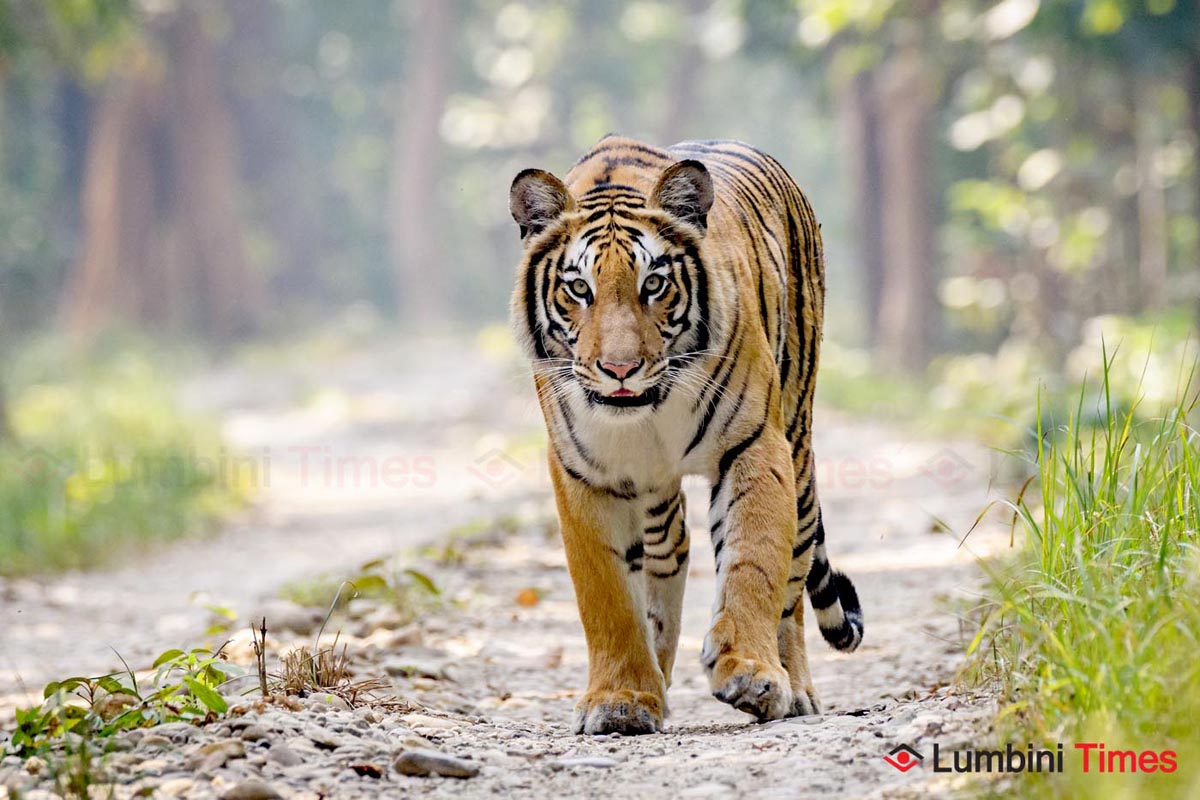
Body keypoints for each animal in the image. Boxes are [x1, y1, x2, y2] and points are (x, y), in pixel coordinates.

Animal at [508, 135, 863, 735]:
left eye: (654, 284)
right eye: (578, 288)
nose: (620, 369)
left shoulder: (754, 445)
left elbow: (753, 564)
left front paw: (751, 673)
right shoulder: (584, 473)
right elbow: (607, 595)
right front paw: (621, 698)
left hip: (798, 436)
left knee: (793, 579)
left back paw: (796, 688)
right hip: (655, 495)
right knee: (668, 557)